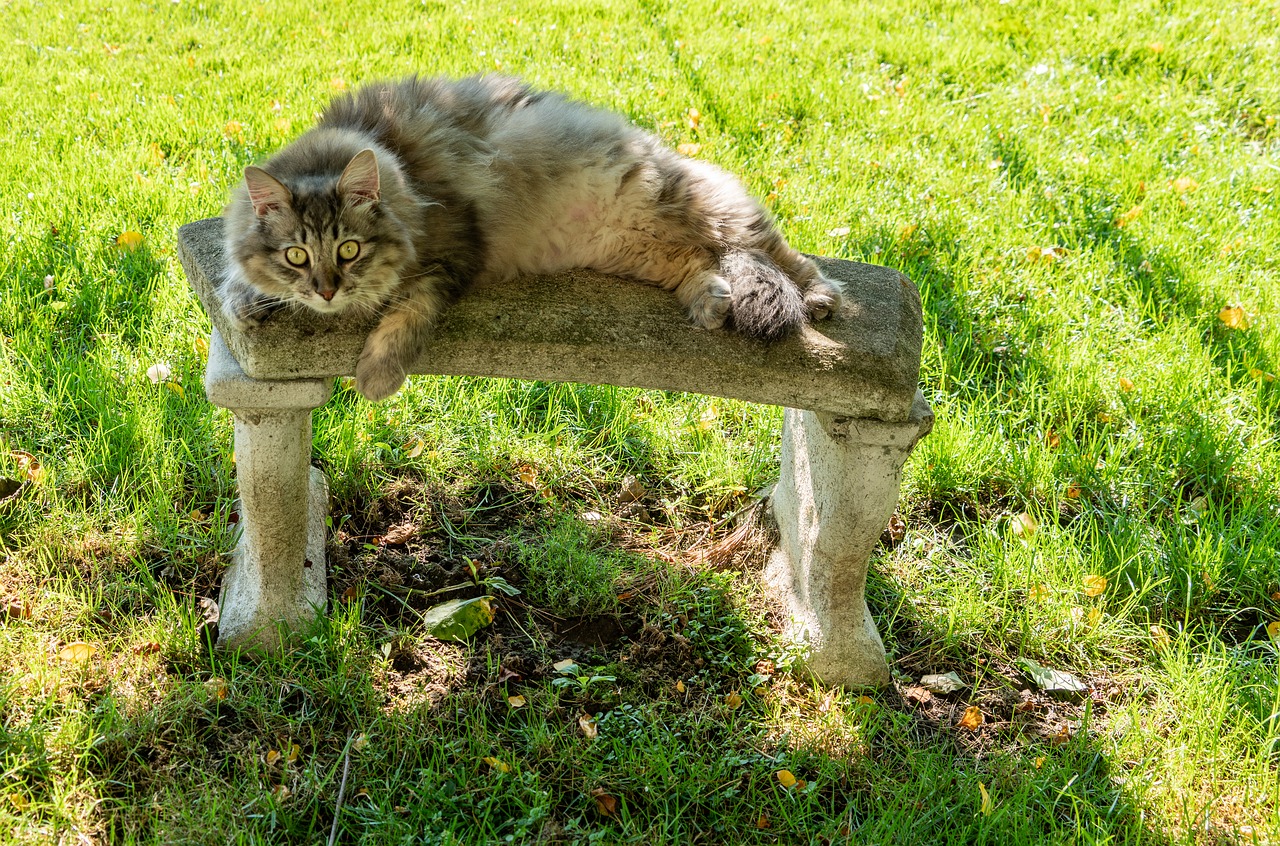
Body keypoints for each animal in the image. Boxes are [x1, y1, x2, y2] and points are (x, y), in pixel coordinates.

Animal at [225, 74, 844, 401]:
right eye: (297, 255)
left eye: (349, 249)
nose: (327, 291)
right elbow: (241, 281)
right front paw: (246, 299)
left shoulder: (455, 249)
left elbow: (408, 313)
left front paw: (376, 376)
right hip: (637, 247)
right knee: (702, 261)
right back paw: (710, 301)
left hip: (693, 206)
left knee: (773, 251)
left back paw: (817, 297)